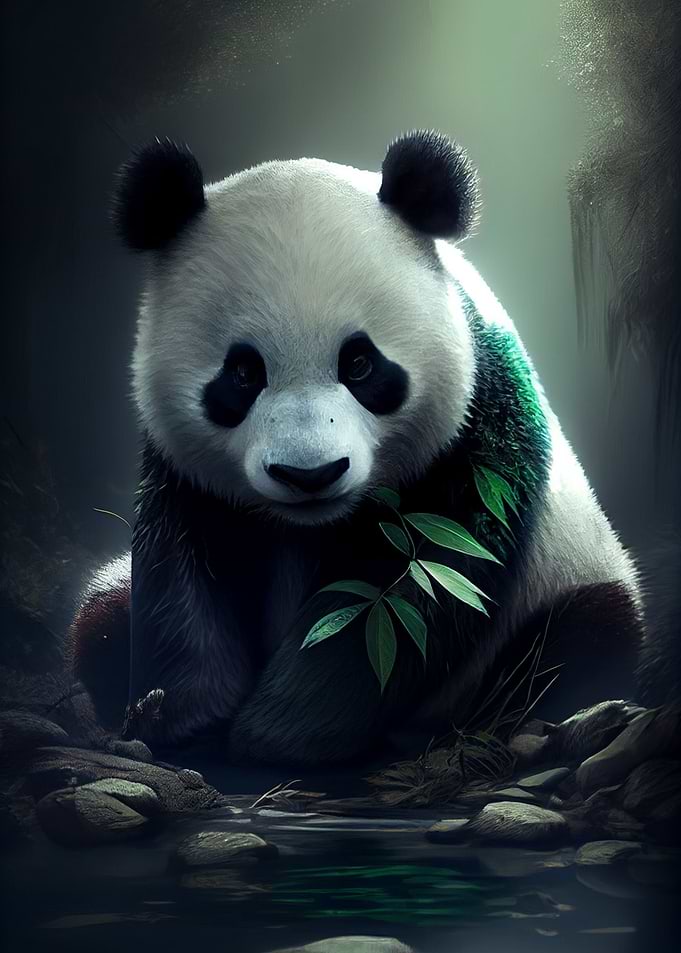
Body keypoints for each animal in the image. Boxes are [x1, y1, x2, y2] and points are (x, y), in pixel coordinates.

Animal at [71, 129, 644, 765]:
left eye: (361, 364)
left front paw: (278, 738)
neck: (310, 528)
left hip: (565, 582)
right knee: (100, 613)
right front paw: (185, 722)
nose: (310, 474)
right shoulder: (184, 476)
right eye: (242, 374)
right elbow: (182, 582)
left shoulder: (476, 440)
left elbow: (402, 604)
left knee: (587, 635)